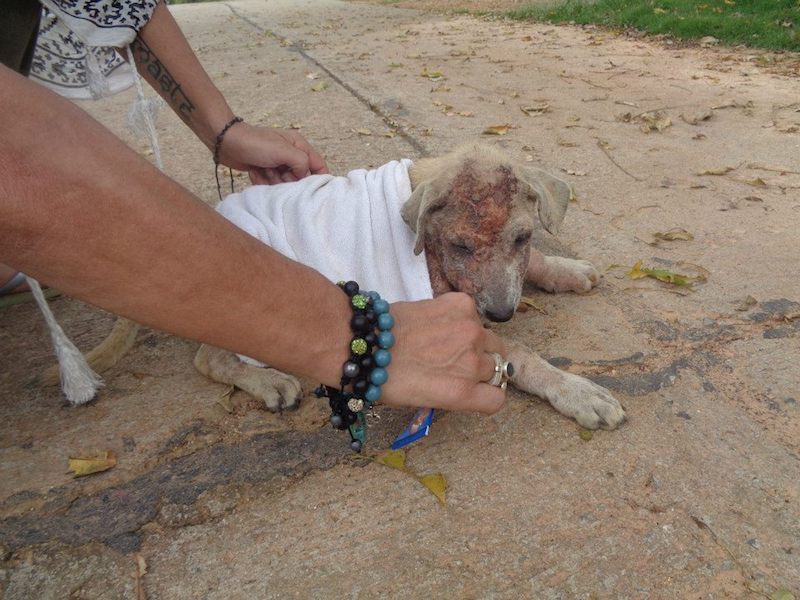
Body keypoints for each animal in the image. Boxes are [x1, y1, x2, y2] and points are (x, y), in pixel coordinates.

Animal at [192, 144, 624, 432]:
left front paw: (566, 269)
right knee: (208, 359)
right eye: (460, 246)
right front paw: (575, 391)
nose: (502, 313)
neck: (429, 246)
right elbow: (518, 352)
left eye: (523, 238)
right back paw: (270, 382)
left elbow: (535, 263)